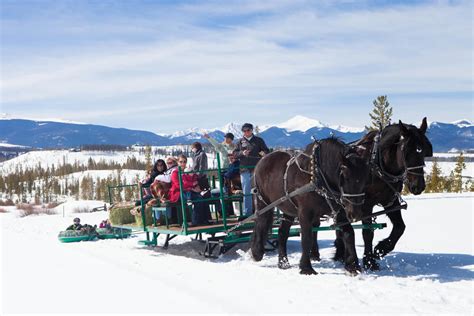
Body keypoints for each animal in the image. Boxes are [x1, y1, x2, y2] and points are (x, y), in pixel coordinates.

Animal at [250, 138, 368, 274]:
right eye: (345, 176)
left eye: (365, 177)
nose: (356, 214)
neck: (316, 175)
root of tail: (262, 160)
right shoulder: (305, 213)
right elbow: (306, 238)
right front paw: (306, 268)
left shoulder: (340, 212)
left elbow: (349, 234)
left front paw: (353, 266)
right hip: (263, 202)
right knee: (260, 222)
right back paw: (257, 253)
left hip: (288, 208)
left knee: (282, 232)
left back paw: (283, 262)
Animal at [334, 118, 434, 270]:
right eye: (405, 151)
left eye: (422, 151)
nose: (418, 186)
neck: (377, 165)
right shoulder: (365, 205)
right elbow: (368, 232)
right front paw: (369, 261)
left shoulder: (391, 201)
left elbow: (400, 227)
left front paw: (379, 250)